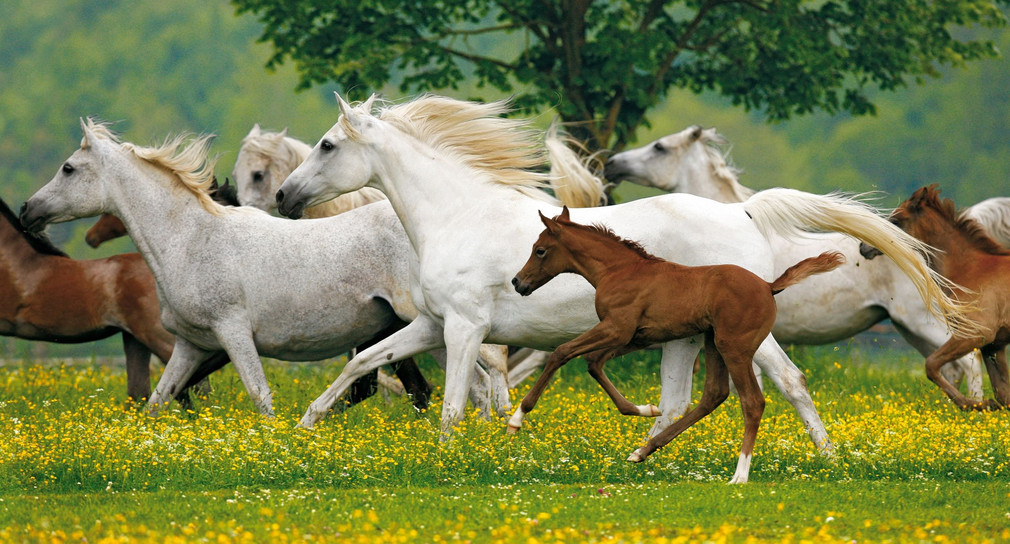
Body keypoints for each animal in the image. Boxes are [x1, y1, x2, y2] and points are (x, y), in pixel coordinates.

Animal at [21, 119, 513, 417]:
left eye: (68, 168)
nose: (27, 210)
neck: (191, 240)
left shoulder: (234, 333)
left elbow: (261, 398)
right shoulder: (191, 345)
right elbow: (158, 402)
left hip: (433, 325)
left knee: (482, 378)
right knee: (472, 385)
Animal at [505, 206, 844, 482]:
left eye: (540, 250)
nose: (518, 282)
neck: (618, 271)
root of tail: (768, 286)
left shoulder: (616, 328)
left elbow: (561, 353)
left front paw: (517, 419)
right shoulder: (634, 336)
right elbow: (593, 364)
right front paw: (645, 408)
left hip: (734, 347)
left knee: (752, 402)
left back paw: (740, 474)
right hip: (713, 343)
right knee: (713, 395)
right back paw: (643, 451)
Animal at [597, 126, 985, 399]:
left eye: (659, 147)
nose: (611, 164)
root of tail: (919, 251)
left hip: (923, 323)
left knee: (968, 361)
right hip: (911, 329)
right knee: (950, 366)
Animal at [876, 185, 1010, 411]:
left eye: (896, 220)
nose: (863, 247)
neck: (969, 270)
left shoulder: (975, 334)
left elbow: (931, 365)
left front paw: (974, 404)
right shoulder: (994, 345)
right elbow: (1003, 395)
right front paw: (985, 404)